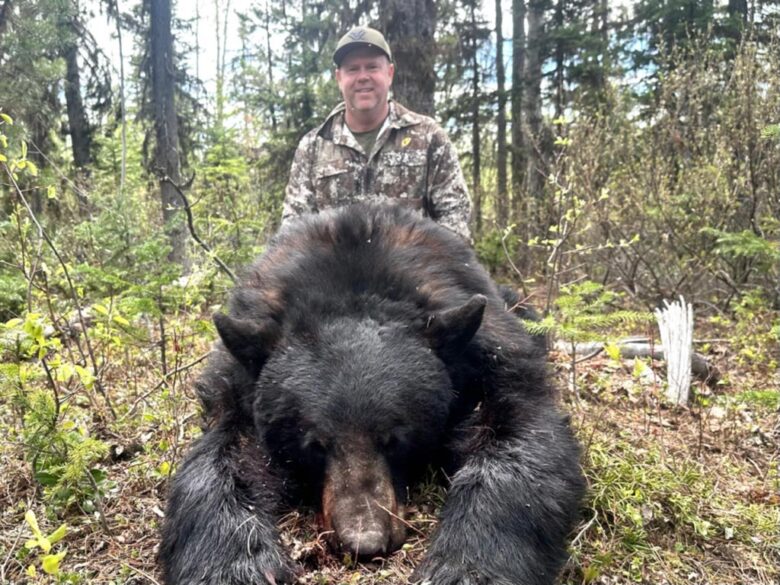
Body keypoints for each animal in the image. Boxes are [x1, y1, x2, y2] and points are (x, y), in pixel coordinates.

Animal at [159, 204, 585, 585]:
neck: (353, 283)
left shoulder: (495, 358)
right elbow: (218, 463)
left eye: (395, 439)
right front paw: (233, 567)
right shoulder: (238, 386)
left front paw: (463, 569)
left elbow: (518, 440)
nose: (364, 541)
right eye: (315, 445)